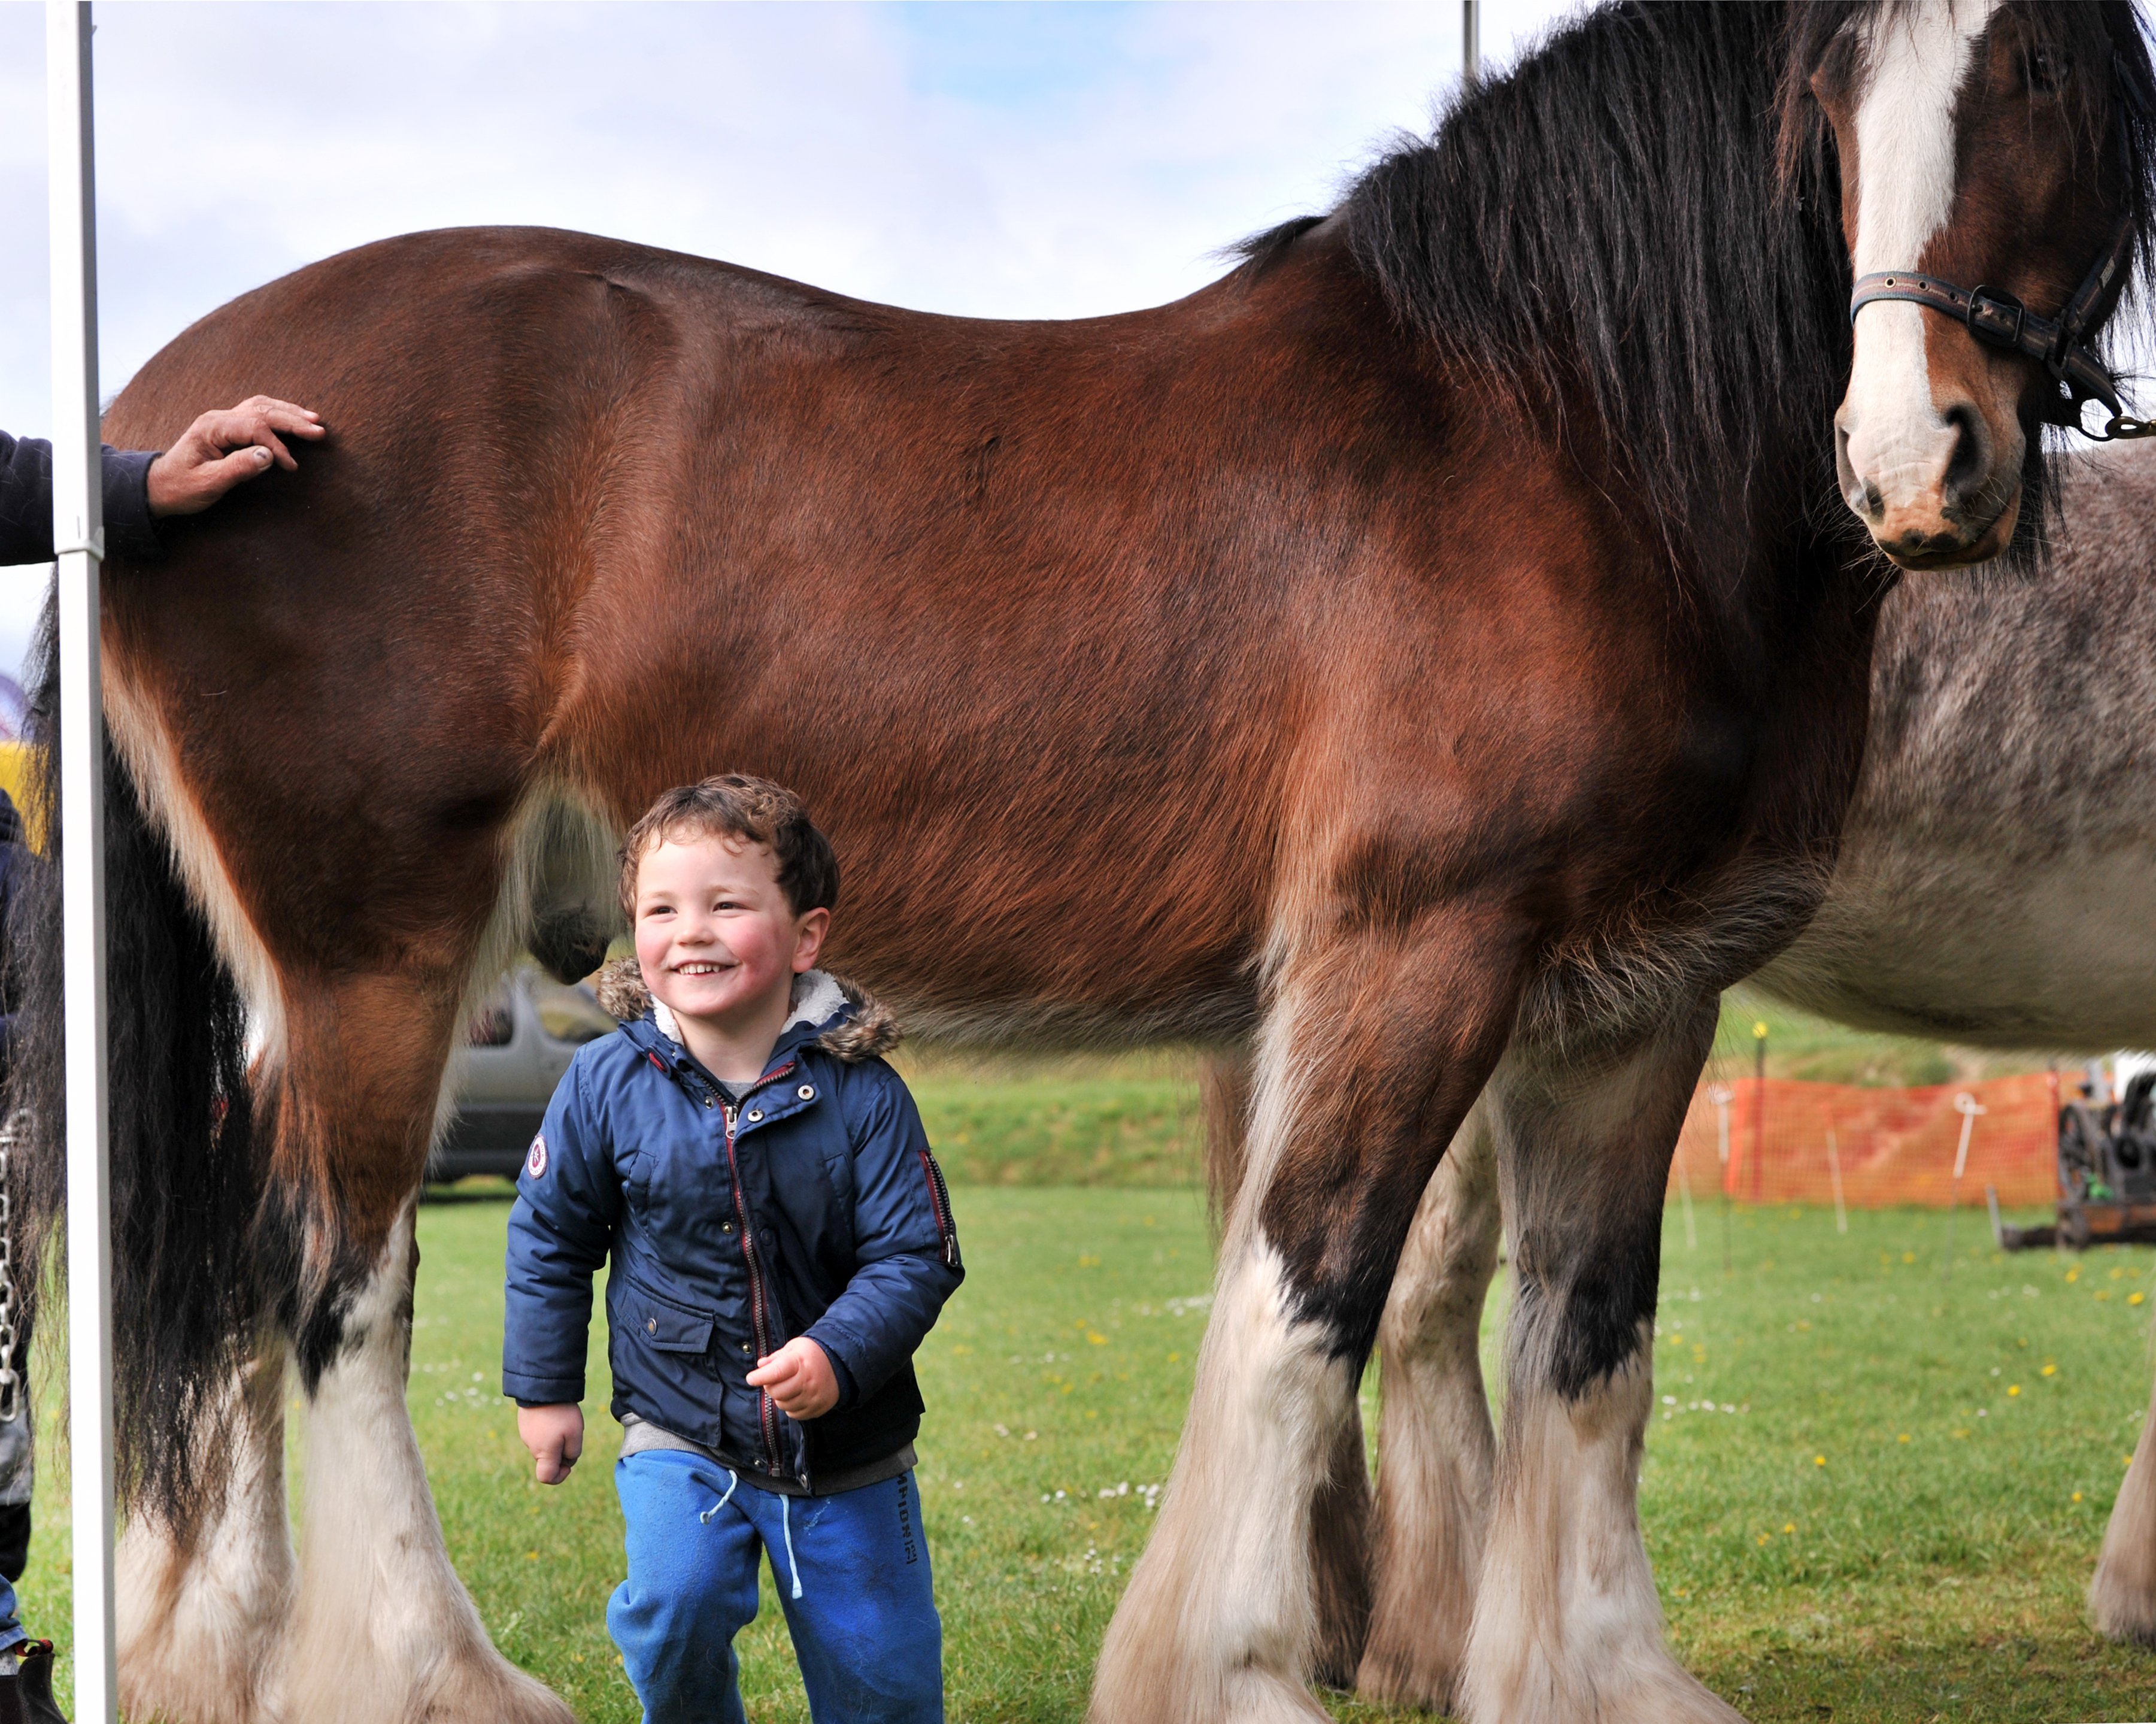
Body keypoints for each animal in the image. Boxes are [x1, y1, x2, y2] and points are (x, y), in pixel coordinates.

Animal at [4, 3, 2139, 1724]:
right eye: (1832, 88)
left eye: (2038, 60)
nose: (1919, 461)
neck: (1560, 429)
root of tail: (167, 425)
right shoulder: (1411, 951)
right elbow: (1308, 1283)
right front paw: (1233, 1668)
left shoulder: (1638, 994)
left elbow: (1589, 1334)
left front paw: (1593, 1675)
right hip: (374, 945)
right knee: (339, 1284)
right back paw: (430, 1674)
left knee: (237, 1290)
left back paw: (227, 1655)